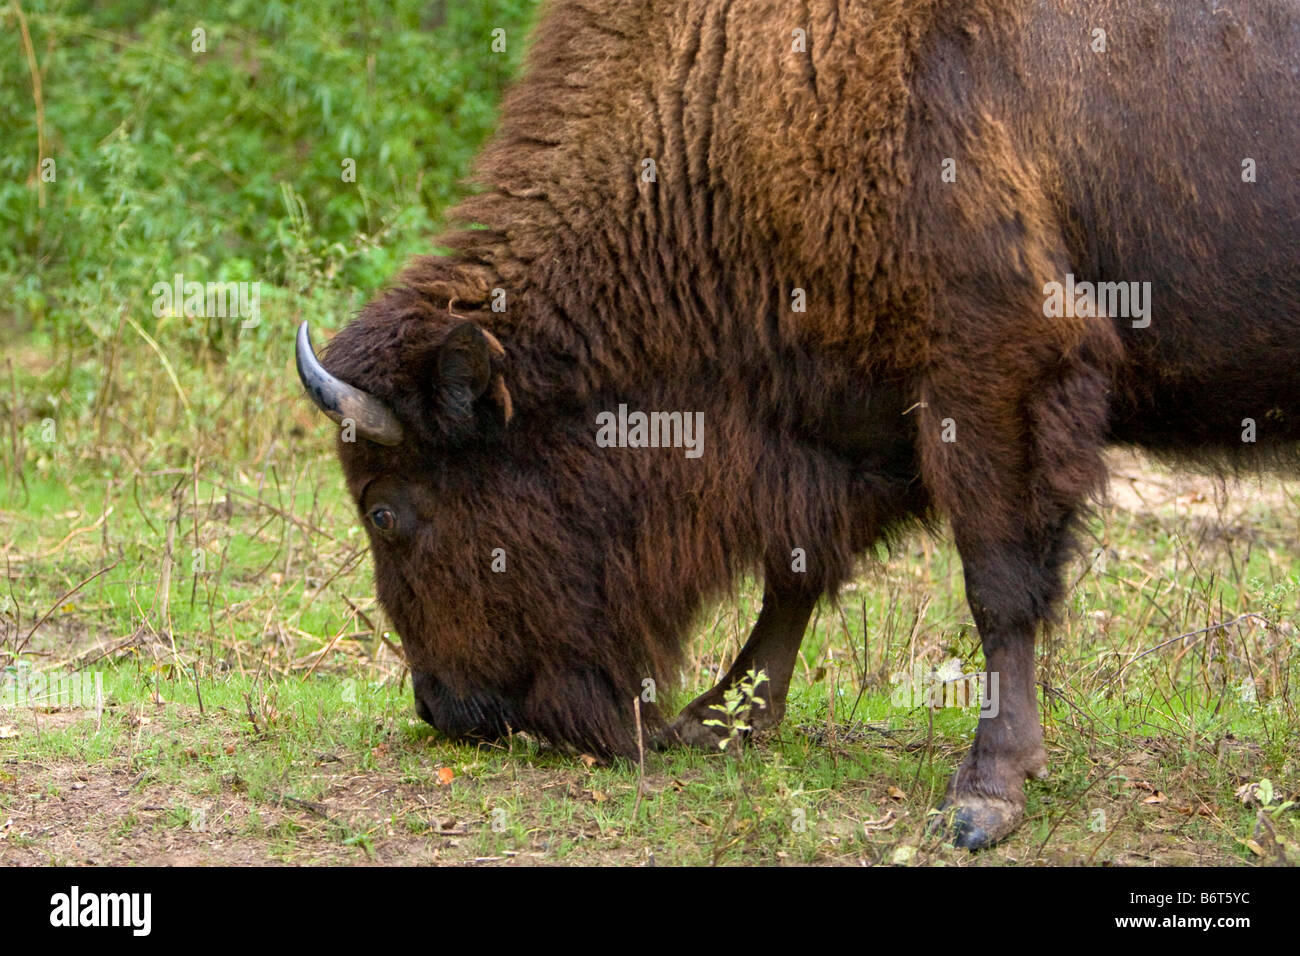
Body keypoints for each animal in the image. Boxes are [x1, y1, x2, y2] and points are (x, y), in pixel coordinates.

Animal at [296, 0, 1300, 847]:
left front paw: (984, 798)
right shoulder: (840, 419)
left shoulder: (993, 373)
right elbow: (796, 570)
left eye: (387, 510)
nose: (444, 710)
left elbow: (999, 587)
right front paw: (720, 720)